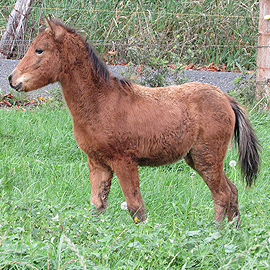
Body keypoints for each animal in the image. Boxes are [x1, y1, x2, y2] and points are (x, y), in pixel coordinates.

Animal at [8, 17, 260, 226]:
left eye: (39, 50)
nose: (12, 79)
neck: (101, 102)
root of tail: (226, 98)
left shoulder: (123, 161)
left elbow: (136, 208)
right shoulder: (97, 162)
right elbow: (97, 206)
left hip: (206, 157)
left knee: (222, 194)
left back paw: (215, 232)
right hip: (200, 159)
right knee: (232, 191)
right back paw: (232, 230)